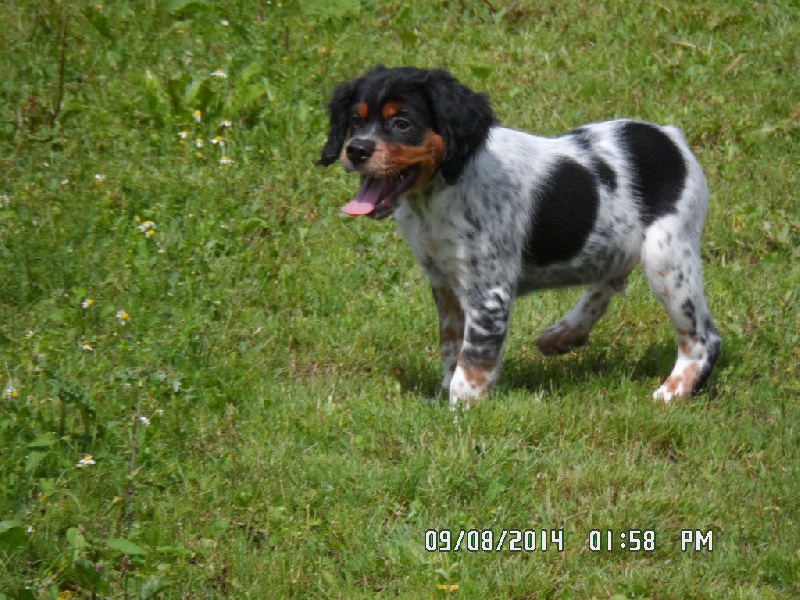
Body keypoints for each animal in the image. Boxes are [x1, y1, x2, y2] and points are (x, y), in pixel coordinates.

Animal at [318, 65, 721, 407]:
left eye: (402, 123)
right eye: (356, 120)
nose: (356, 149)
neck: (443, 191)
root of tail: (671, 137)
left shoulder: (488, 292)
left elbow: (472, 359)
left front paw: (459, 413)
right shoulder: (445, 282)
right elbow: (451, 347)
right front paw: (443, 397)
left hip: (667, 258)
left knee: (704, 338)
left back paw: (673, 391)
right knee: (607, 280)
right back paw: (565, 333)